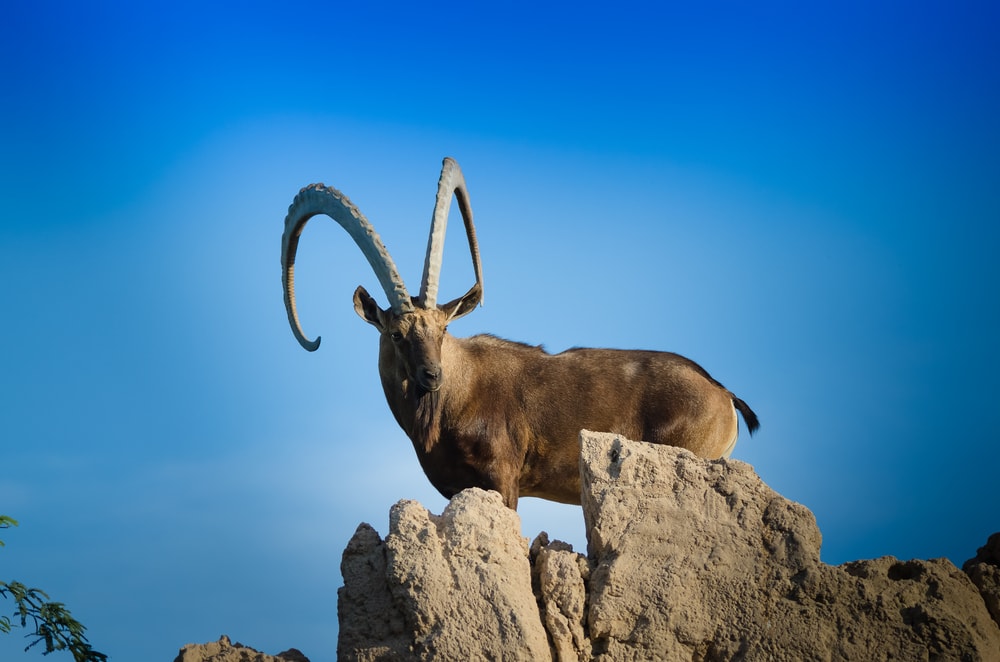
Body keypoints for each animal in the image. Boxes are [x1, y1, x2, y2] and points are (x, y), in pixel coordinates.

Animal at [281, 158, 759, 509]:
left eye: (444, 329)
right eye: (397, 334)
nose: (432, 375)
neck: (455, 396)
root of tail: (723, 394)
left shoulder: (502, 477)